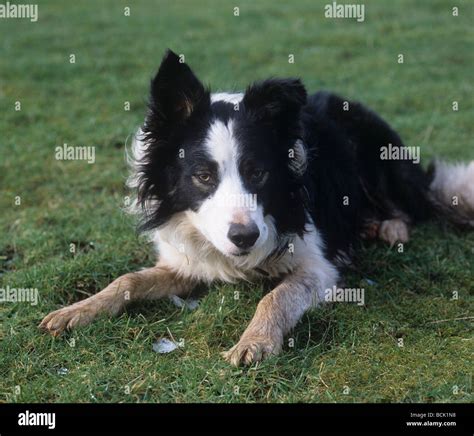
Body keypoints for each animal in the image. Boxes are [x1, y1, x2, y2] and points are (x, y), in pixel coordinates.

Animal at [39, 49, 474, 366]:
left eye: (258, 172)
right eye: (203, 176)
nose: (245, 237)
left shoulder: (318, 266)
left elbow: (276, 296)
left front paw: (255, 342)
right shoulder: (188, 262)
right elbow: (127, 279)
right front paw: (76, 311)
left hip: (380, 157)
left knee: (411, 206)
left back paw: (390, 227)